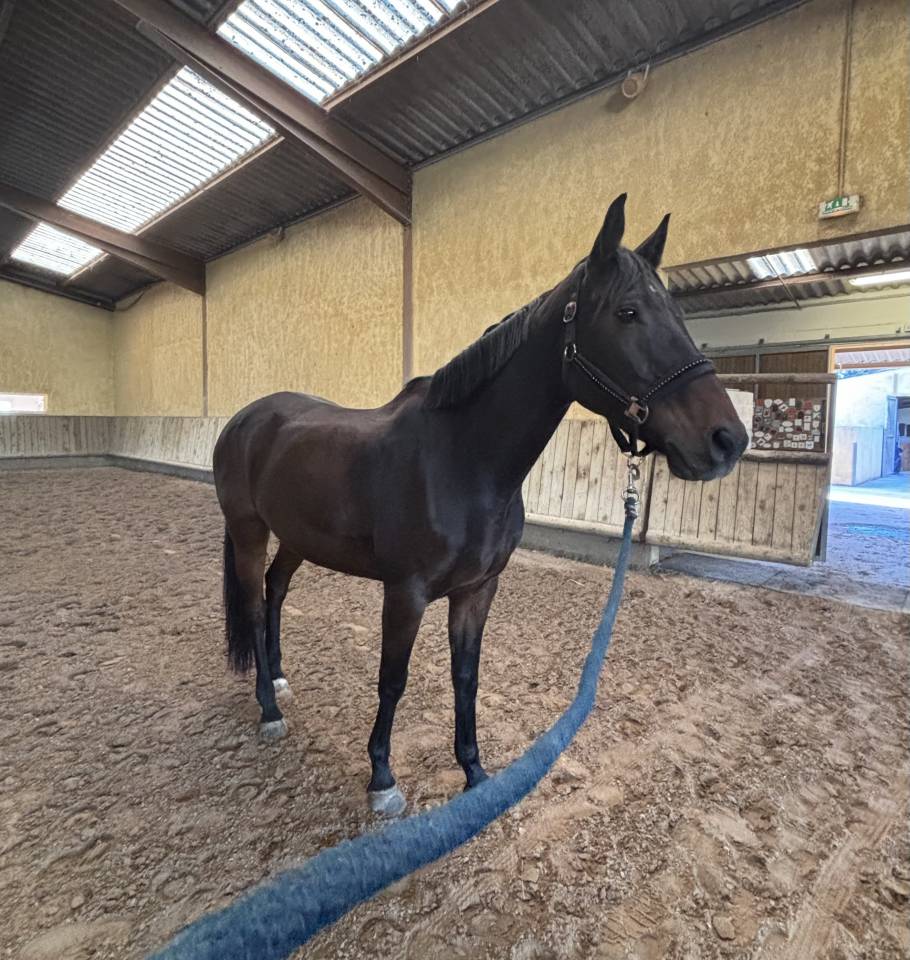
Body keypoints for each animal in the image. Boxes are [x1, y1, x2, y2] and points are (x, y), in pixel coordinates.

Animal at [212, 194, 749, 817]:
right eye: (628, 312)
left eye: (679, 315)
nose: (727, 440)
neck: (463, 458)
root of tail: (246, 419)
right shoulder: (406, 592)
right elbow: (392, 679)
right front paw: (382, 779)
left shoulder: (478, 589)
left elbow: (465, 676)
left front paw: (473, 771)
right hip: (249, 530)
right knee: (254, 605)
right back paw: (269, 709)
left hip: (297, 536)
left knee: (276, 590)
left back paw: (277, 680)